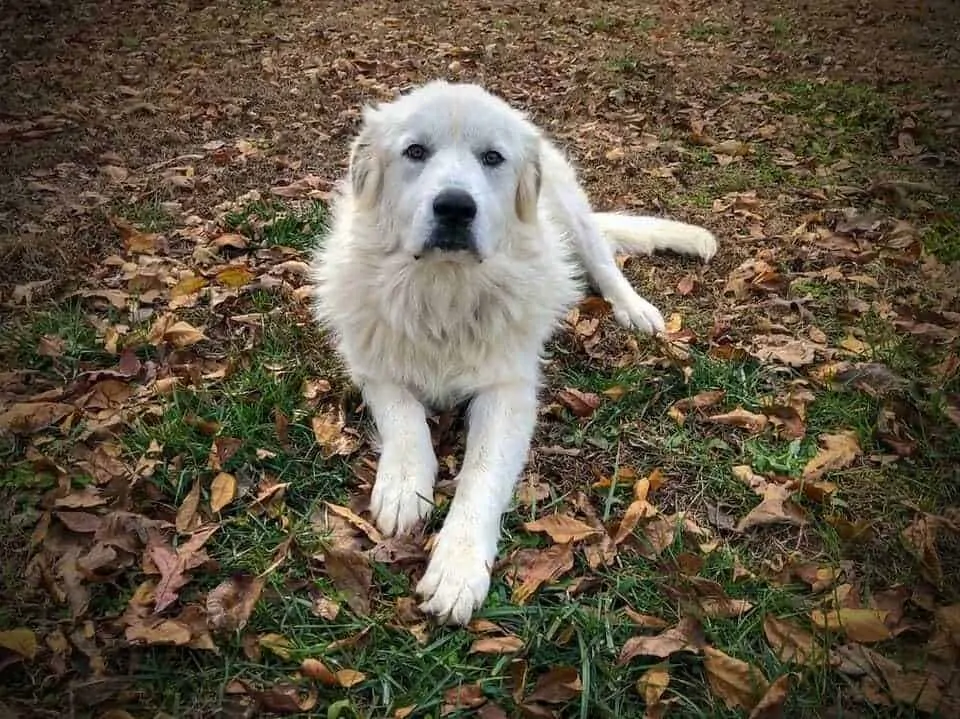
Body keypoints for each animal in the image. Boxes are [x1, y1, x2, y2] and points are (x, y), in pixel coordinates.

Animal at [312, 81, 716, 628]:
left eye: (492, 158)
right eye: (415, 152)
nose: (455, 207)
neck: (444, 291)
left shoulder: (506, 392)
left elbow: (481, 477)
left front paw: (458, 567)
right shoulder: (372, 364)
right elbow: (403, 417)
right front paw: (403, 483)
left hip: (573, 217)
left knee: (605, 267)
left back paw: (635, 310)